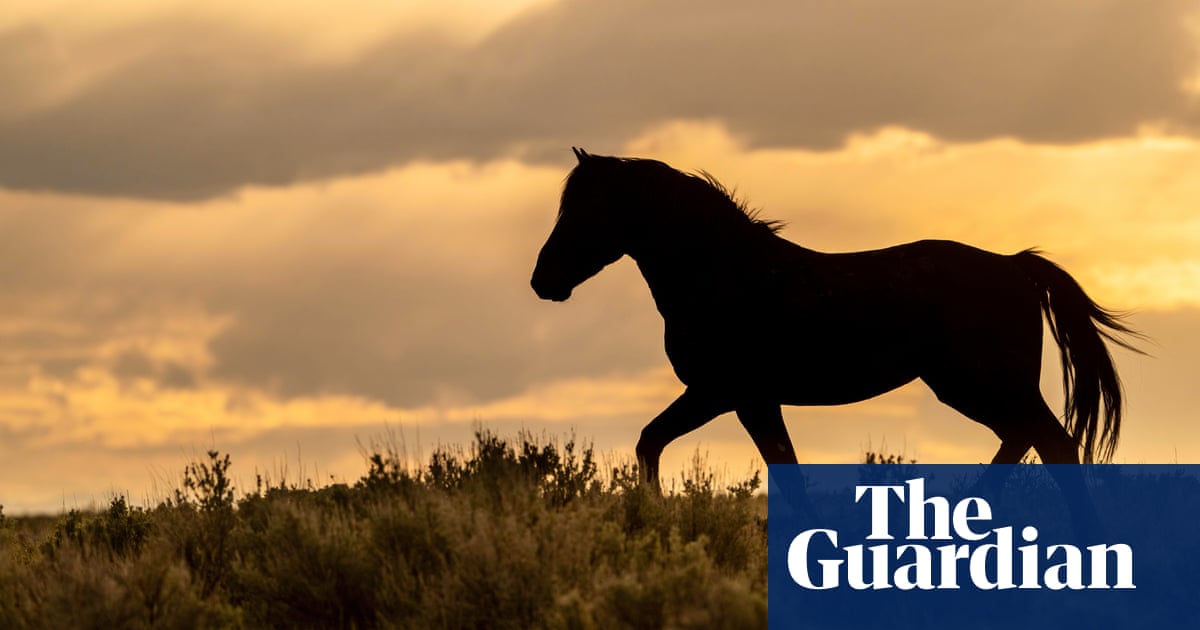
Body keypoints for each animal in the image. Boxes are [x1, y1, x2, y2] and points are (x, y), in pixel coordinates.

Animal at [530, 146, 1137, 506]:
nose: (543, 280)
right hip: (974, 388)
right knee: (1025, 440)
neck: (726, 273)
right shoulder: (745, 399)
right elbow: (770, 466)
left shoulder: (725, 393)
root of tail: (1014, 264)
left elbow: (656, 443)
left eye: (585, 210)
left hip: (986, 385)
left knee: (1052, 443)